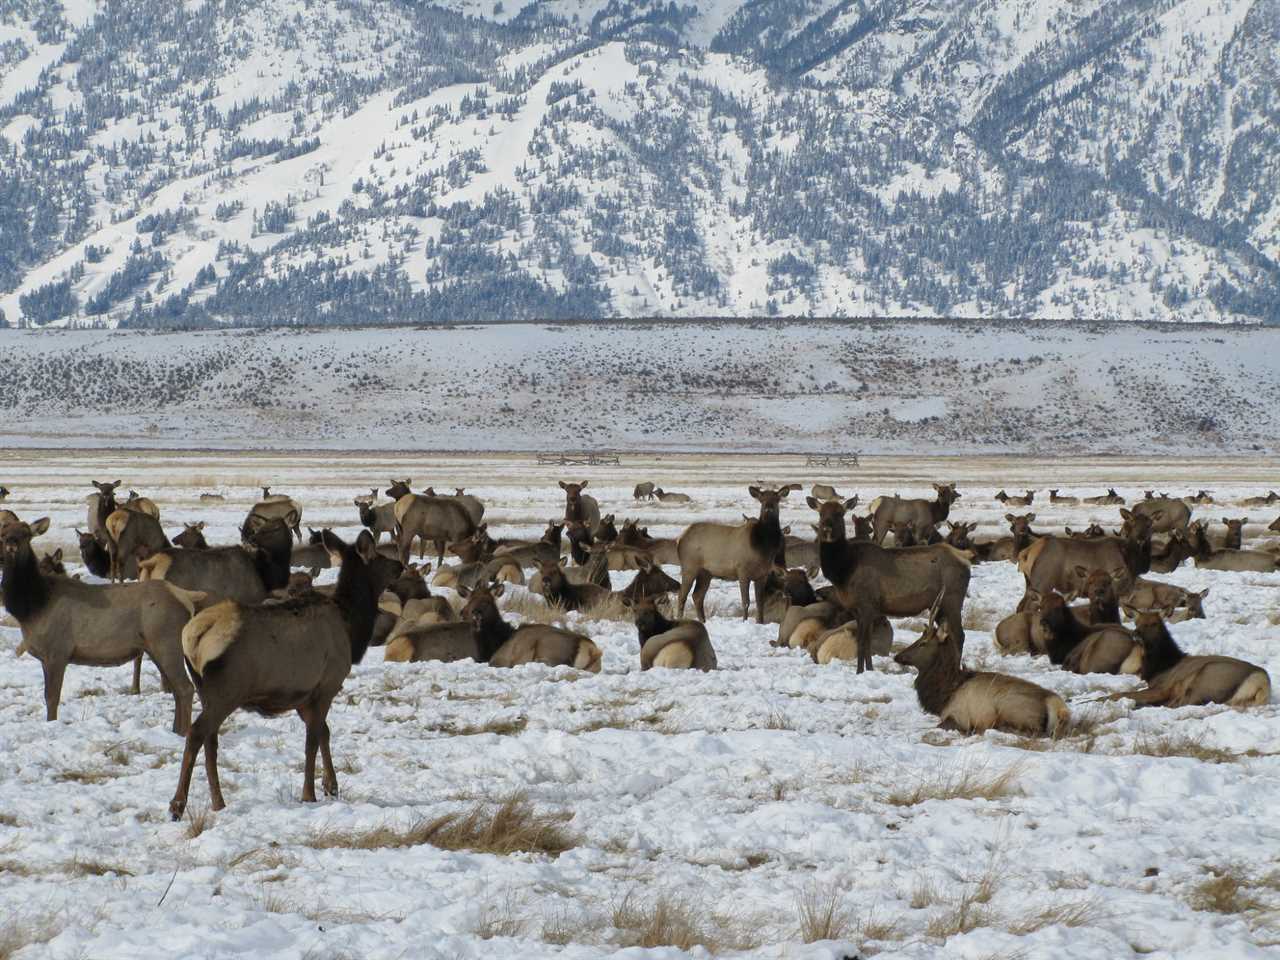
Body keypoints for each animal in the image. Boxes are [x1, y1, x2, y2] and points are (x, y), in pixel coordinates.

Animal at [167, 535, 401, 819]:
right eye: (379, 557)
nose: (400, 565)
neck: (351, 628)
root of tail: (194, 637)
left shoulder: (303, 696)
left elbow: (324, 732)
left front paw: (331, 786)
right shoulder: (327, 684)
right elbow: (312, 739)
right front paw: (309, 794)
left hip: (206, 691)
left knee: (211, 740)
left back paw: (218, 802)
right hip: (227, 690)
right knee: (197, 733)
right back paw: (177, 805)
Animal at [675, 483, 793, 627]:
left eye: (777, 499)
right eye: (761, 499)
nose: (768, 509)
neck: (763, 548)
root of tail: (680, 539)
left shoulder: (762, 575)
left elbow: (760, 603)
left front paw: (760, 622)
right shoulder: (742, 571)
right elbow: (746, 601)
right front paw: (745, 621)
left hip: (706, 573)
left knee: (697, 596)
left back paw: (703, 621)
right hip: (689, 566)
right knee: (682, 595)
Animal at [808, 496, 967, 675]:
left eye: (840, 513)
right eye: (821, 513)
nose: (827, 528)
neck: (843, 571)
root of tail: (965, 561)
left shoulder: (867, 605)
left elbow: (863, 642)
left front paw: (860, 671)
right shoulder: (858, 609)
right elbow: (867, 642)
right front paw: (868, 669)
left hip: (952, 600)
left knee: (959, 636)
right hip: (940, 606)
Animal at [1111, 611, 1269, 711]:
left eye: (1154, 623)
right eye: (1136, 622)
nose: (1135, 633)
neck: (1159, 667)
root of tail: (1262, 681)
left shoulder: (1162, 688)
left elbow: (1122, 694)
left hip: (1207, 677)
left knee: (1182, 703)